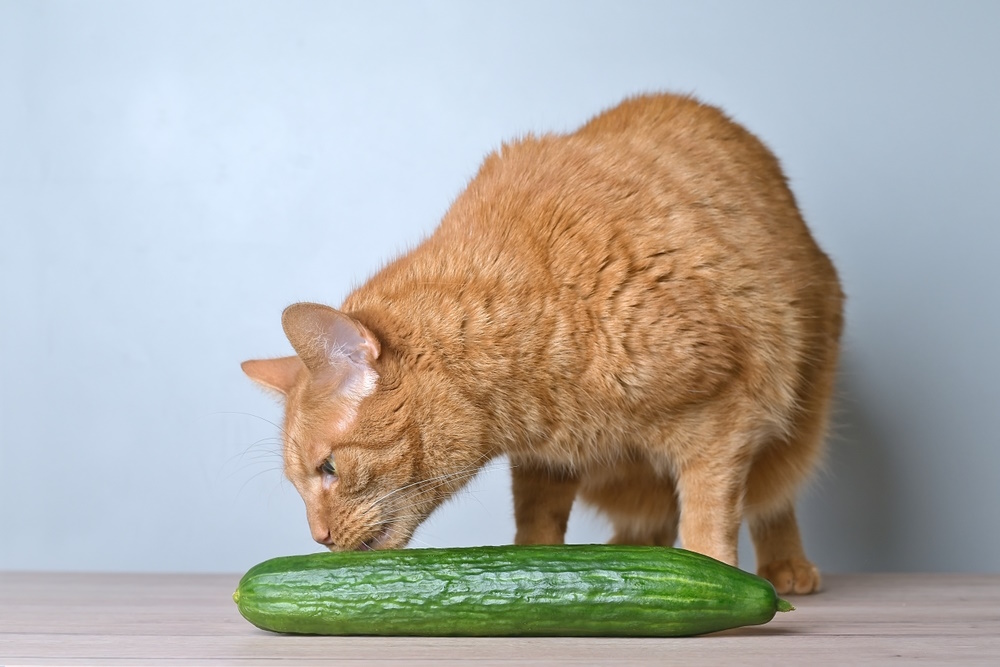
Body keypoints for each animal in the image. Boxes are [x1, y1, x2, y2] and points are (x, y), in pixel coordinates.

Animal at [244, 92, 844, 596]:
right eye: (300, 482)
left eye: (328, 469)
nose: (318, 538)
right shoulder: (543, 462)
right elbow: (537, 524)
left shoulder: (722, 421)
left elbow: (707, 521)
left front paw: (717, 579)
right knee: (650, 516)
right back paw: (629, 555)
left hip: (799, 413)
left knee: (773, 499)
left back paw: (784, 564)